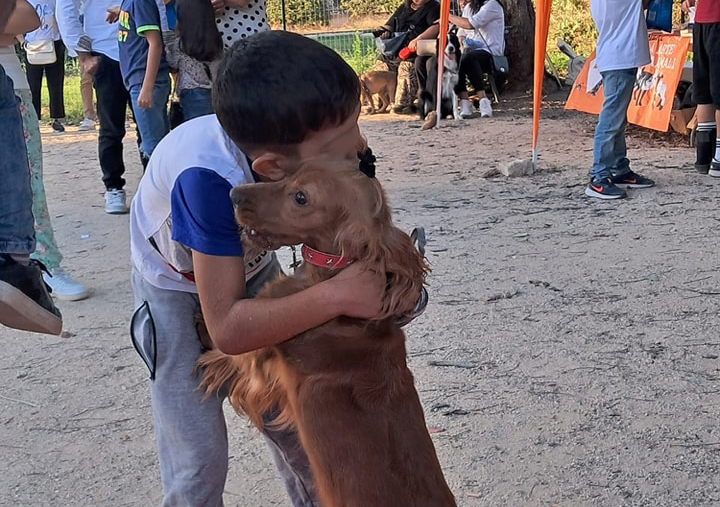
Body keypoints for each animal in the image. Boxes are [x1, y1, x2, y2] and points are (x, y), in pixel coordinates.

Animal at [197, 157, 456, 506]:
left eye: (301, 197)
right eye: (289, 174)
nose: (234, 195)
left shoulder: (260, 350)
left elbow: (225, 350)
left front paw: (204, 340)